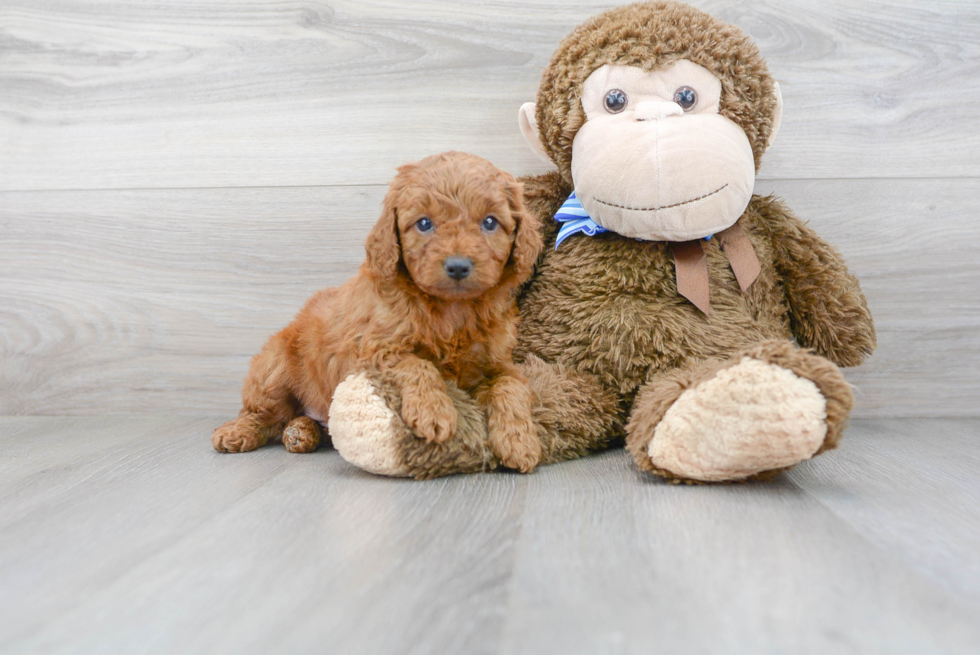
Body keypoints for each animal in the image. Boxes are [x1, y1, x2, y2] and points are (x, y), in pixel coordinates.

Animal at [212, 152, 544, 474]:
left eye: (490, 222)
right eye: (424, 224)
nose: (458, 266)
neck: (452, 310)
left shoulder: (500, 362)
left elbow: (511, 386)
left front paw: (520, 442)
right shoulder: (372, 350)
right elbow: (416, 363)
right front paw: (433, 412)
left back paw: (301, 433)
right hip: (274, 367)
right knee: (264, 414)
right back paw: (237, 432)